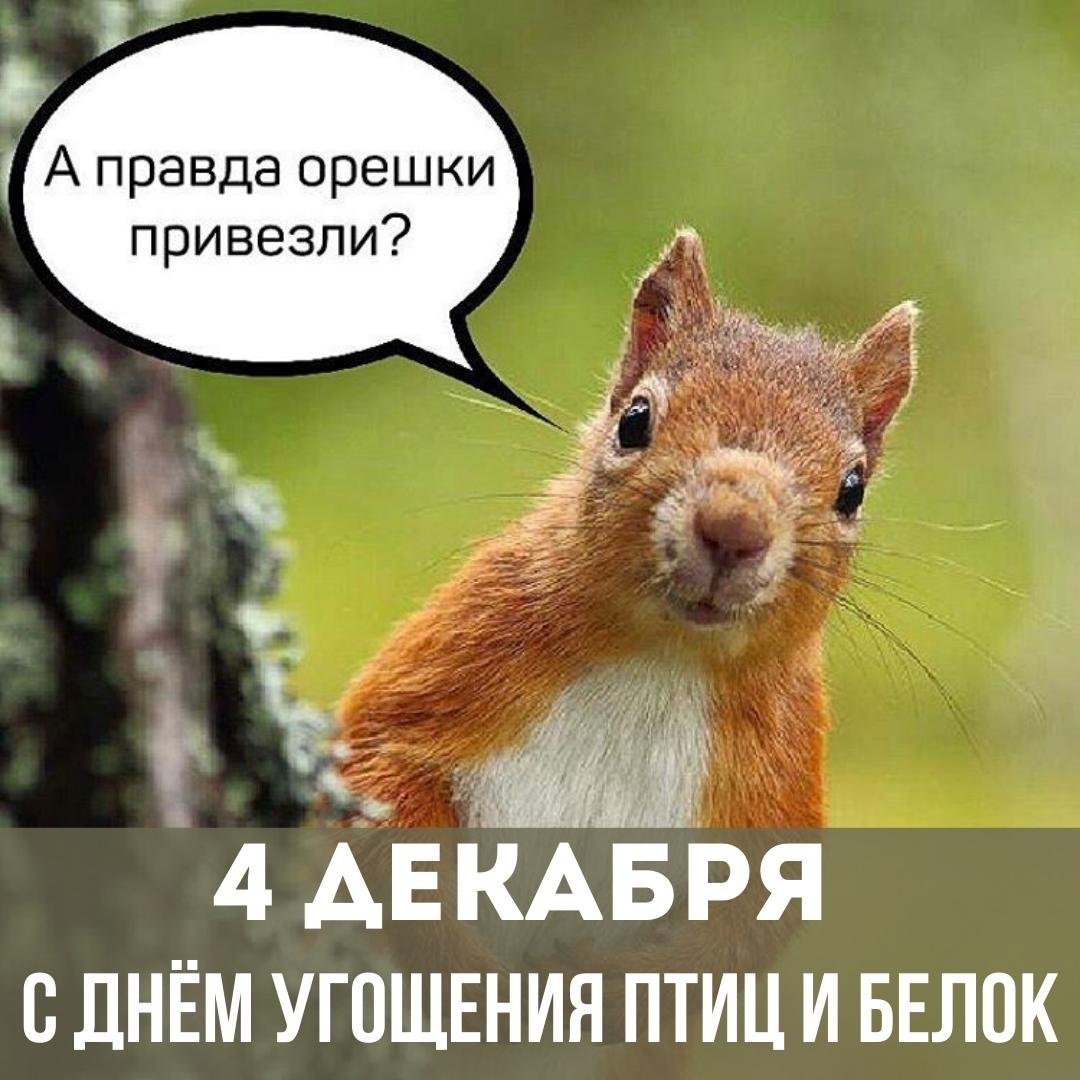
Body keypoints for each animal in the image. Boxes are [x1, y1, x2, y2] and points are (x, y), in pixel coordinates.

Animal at [338, 229, 916, 828]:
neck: (663, 659)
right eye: (634, 420)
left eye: (853, 490)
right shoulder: (440, 672)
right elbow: (386, 772)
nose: (734, 527)